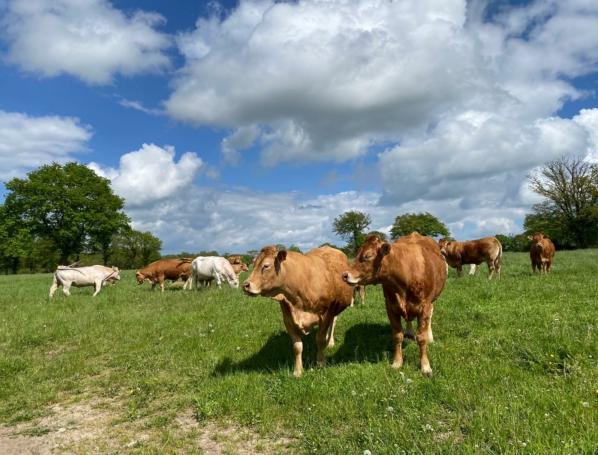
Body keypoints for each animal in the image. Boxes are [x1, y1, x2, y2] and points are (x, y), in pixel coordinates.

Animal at [244, 246, 356, 378]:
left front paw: (320, 362)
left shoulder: (326, 313)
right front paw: (298, 371)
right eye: (254, 264)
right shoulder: (288, 319)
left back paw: (330, 342)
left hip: (335, 307)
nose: (245, 285)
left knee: (333, 322)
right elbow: (297, 346)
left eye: (266, 266)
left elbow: (320, 339)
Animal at [344, 233, 448, 380]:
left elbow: (421, 338)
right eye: (357, 253)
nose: (344, 275)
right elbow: (397, 336)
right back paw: (409, 332)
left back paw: (430, 336)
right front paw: (397, 362)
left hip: (431, 301)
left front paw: (425, 367)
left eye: (367, 256)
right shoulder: (391, 308)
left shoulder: (424, 307)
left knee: (430, 316)